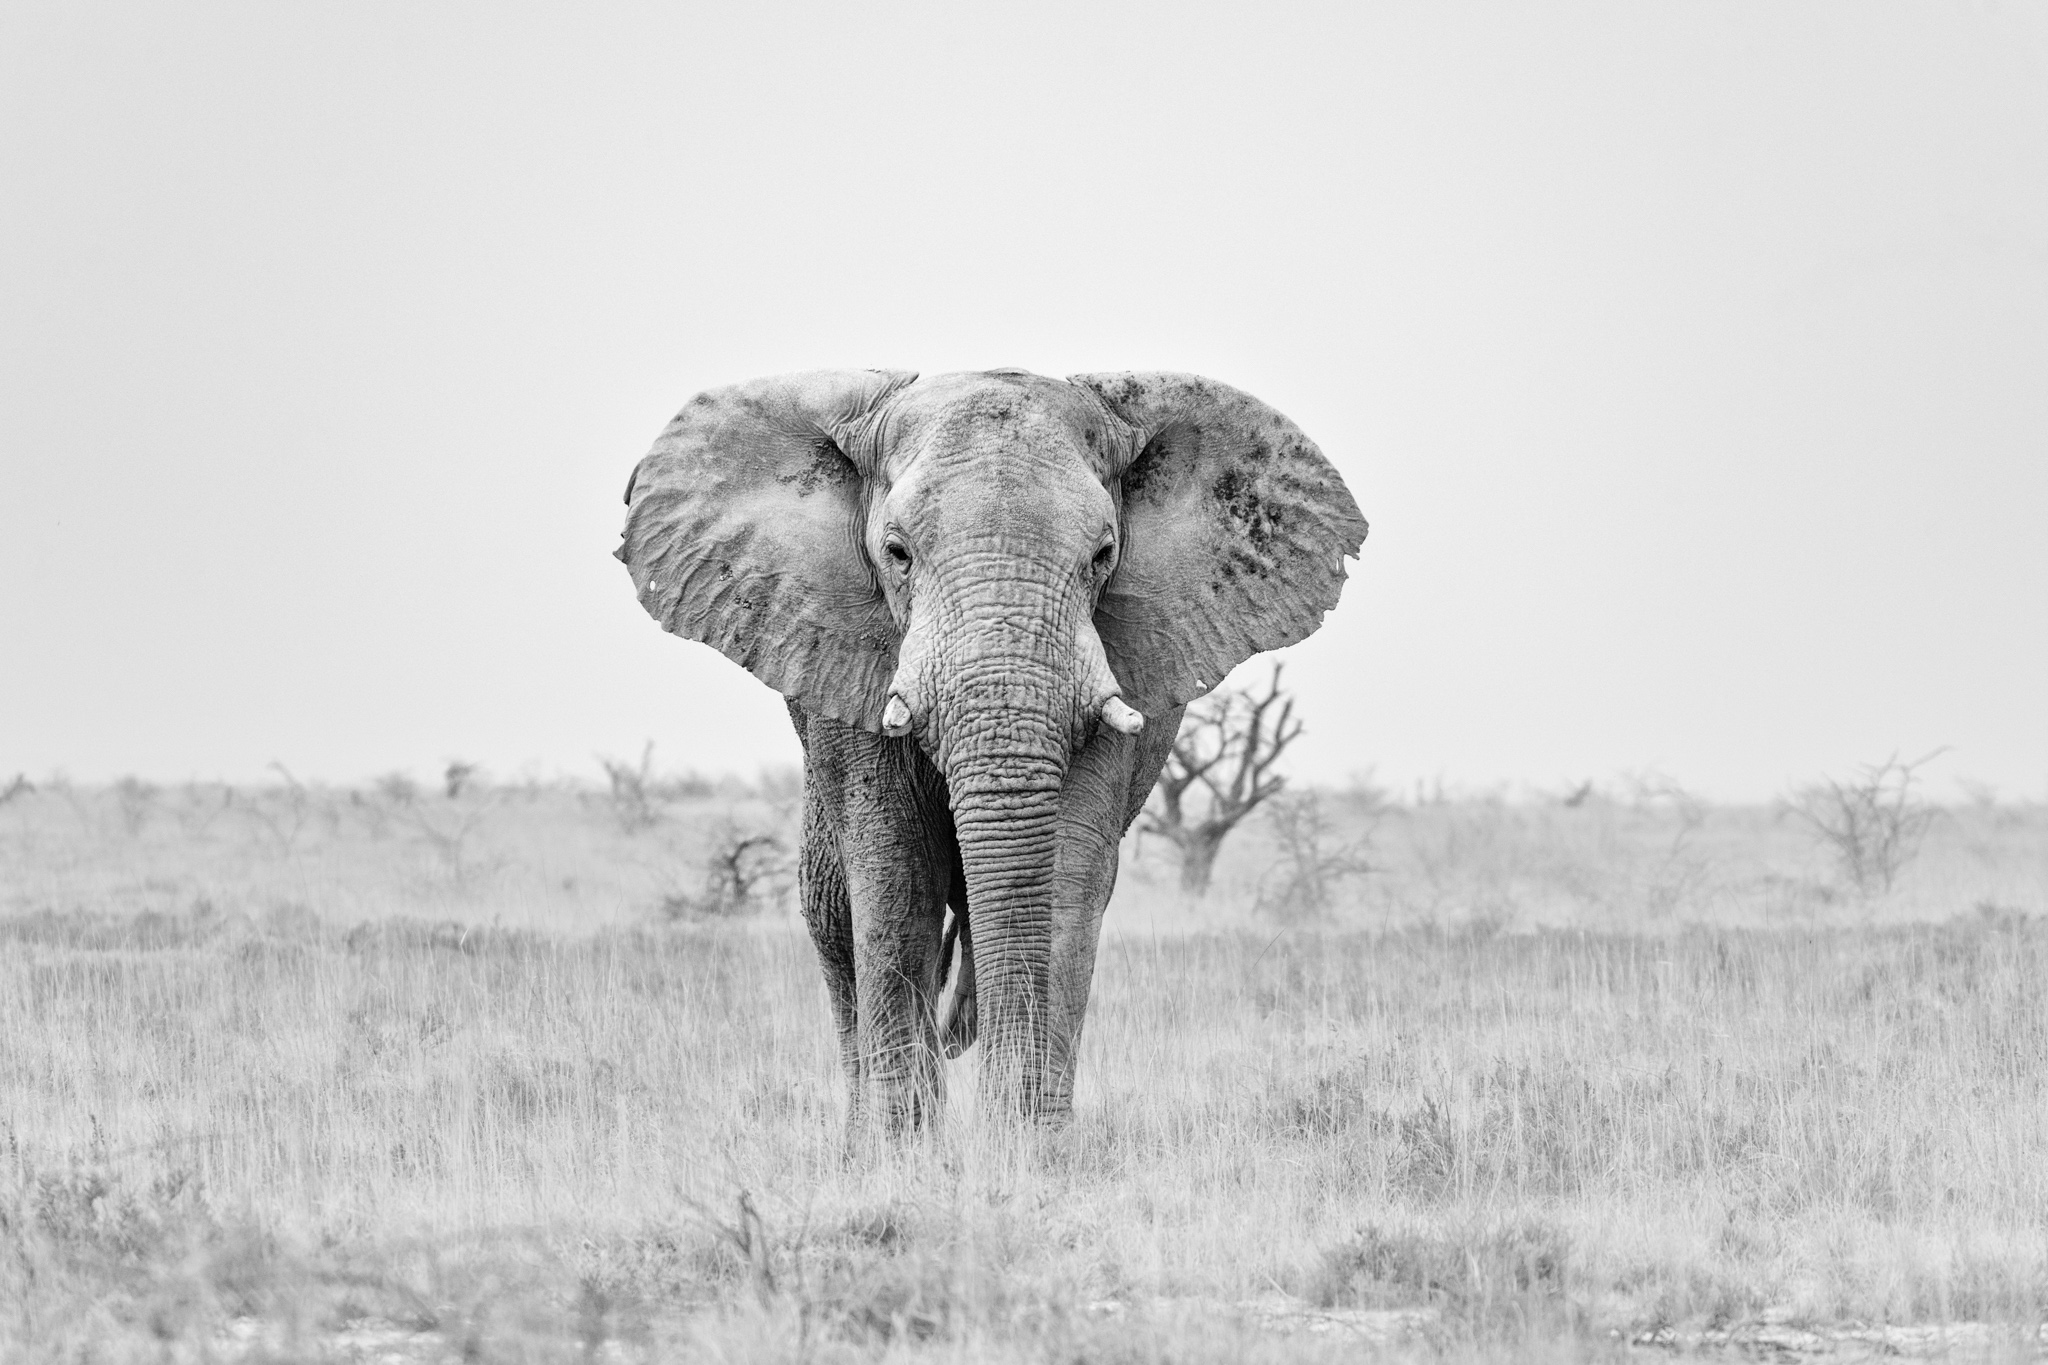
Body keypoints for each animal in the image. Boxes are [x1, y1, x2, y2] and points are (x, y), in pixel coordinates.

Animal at [616, 368, 1366, 1129]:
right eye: (897, 554)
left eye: (1103, 556)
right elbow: (895, 876)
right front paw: (910, 1149)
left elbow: (1065, 876)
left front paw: (1025, 1146)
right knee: (833, 921)